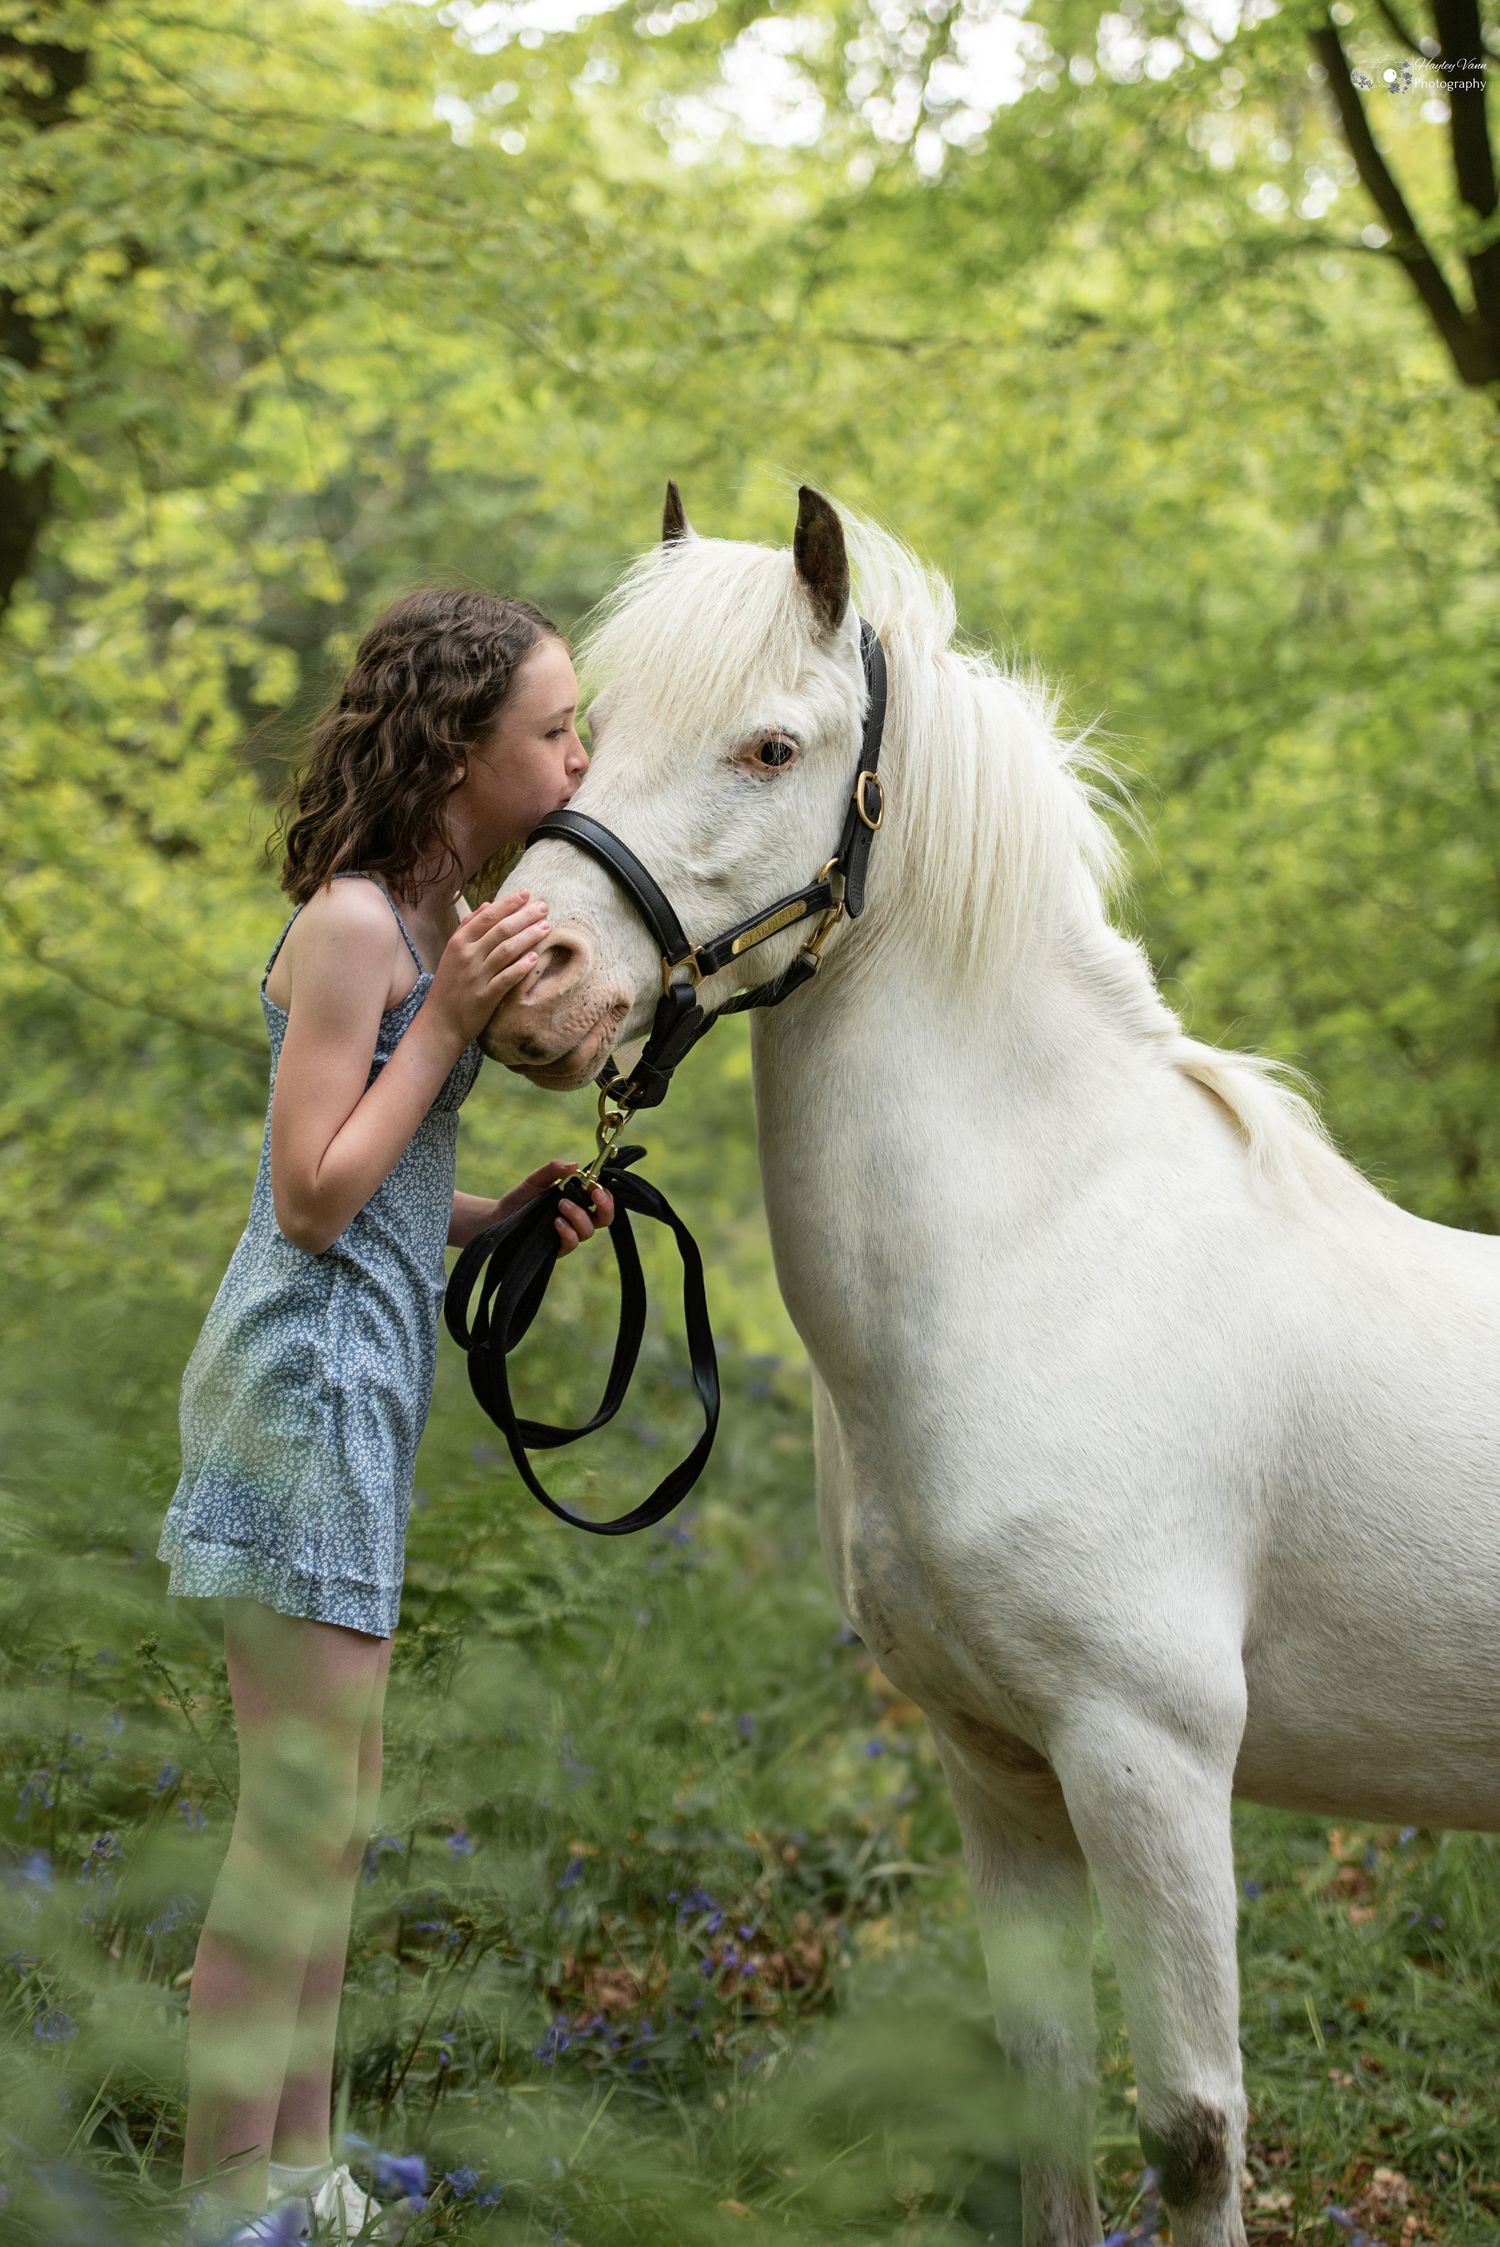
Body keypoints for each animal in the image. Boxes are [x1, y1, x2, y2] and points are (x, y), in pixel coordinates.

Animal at [478, 485, 1500, 2247]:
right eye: (591, 728)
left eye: (770, 745)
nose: (526, 973)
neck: (1050, 1256)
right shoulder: (996, 1758)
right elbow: (1044, 2085)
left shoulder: (1149, 1759)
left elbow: (1193, 2128)